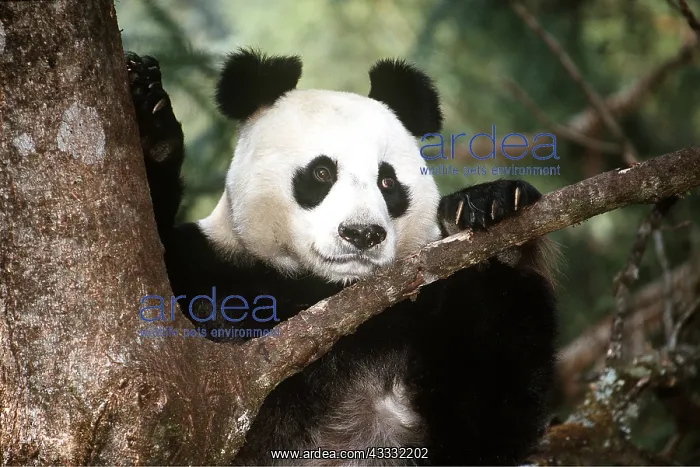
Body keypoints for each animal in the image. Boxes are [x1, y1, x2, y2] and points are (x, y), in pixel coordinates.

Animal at [126, 48, 558, 466]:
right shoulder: (211, 267)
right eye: (321, 173)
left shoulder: (419, 314)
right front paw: (147, 121)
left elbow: (488, 422)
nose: (362, 234)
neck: (318, 290)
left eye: (387, 182)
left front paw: (495, 218)